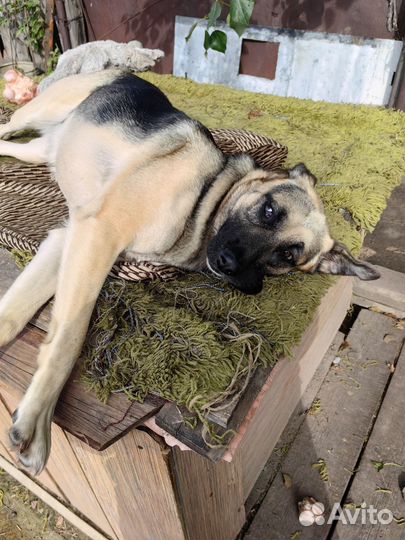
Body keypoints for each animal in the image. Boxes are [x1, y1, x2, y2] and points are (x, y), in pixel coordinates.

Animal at [0, 68, 378, 472]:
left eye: (289, 256)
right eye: (269, 210)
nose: (232, 267)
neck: (204, 199)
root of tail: (124, 71)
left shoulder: (70, 238)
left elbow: (17, 314)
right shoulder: (99, 233)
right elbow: (70, 335)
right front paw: (37, 422)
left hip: (36, 150)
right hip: (33, 116)